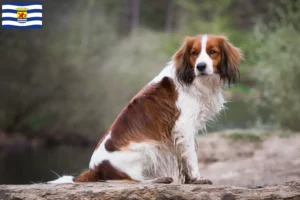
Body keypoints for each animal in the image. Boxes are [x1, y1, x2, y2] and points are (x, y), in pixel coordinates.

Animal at [48, 34, 241, 184]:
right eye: (194, 53)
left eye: (212, 52)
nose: (200, 66)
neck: (195, 80)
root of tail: (96, 167)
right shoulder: (184, 125)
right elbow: (192, 155)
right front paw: (197, 179)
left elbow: (185, 156)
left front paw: (188, 180)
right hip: (147, 148)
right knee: (130, 180)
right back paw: (158, 179)